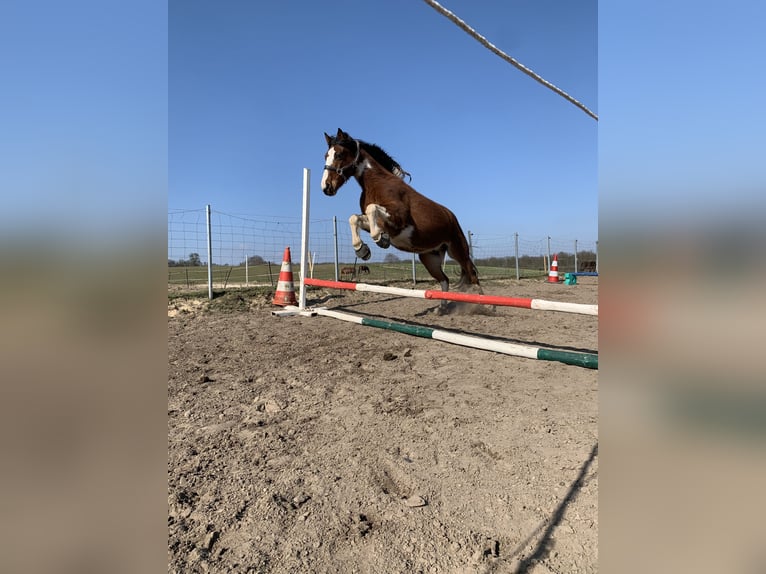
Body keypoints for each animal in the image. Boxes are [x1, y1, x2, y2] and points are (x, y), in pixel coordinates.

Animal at [322, 129, 480, 304]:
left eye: (339, 154)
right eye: (326, 155)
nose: (326, 187)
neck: (376, 183)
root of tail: (451, 216)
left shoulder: (399, 218)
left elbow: (371, 209)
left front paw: (381, 240)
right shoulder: (378, 223)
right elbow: (354, 218)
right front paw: (362, 250)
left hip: (458, 250)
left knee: (473, 277)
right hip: (429, 258)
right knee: (444, 279)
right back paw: (443, 307)